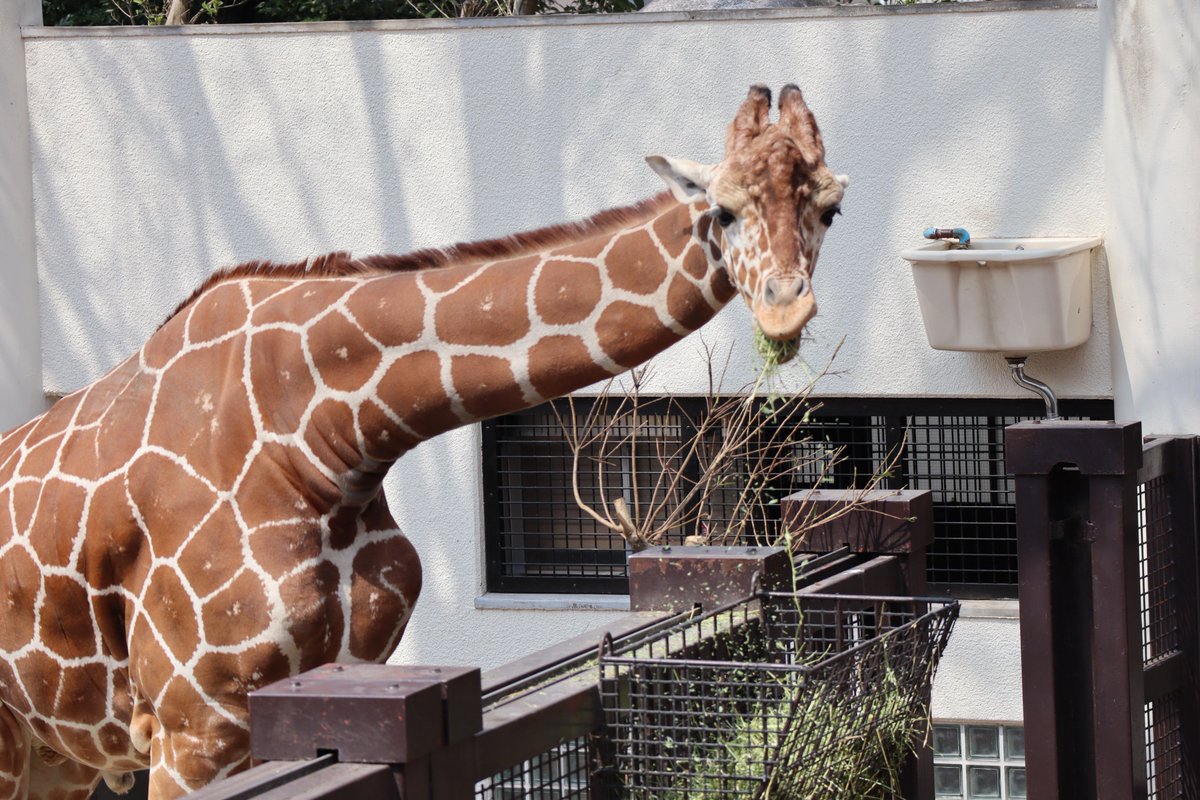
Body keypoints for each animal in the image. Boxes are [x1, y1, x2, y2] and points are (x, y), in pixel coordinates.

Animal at [0, 84, 846, 799]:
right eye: (724, 211)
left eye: (831, 209)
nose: (784, 309)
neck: (323, 442)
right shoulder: (192, 721)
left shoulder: (327, 679)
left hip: (56, 753)